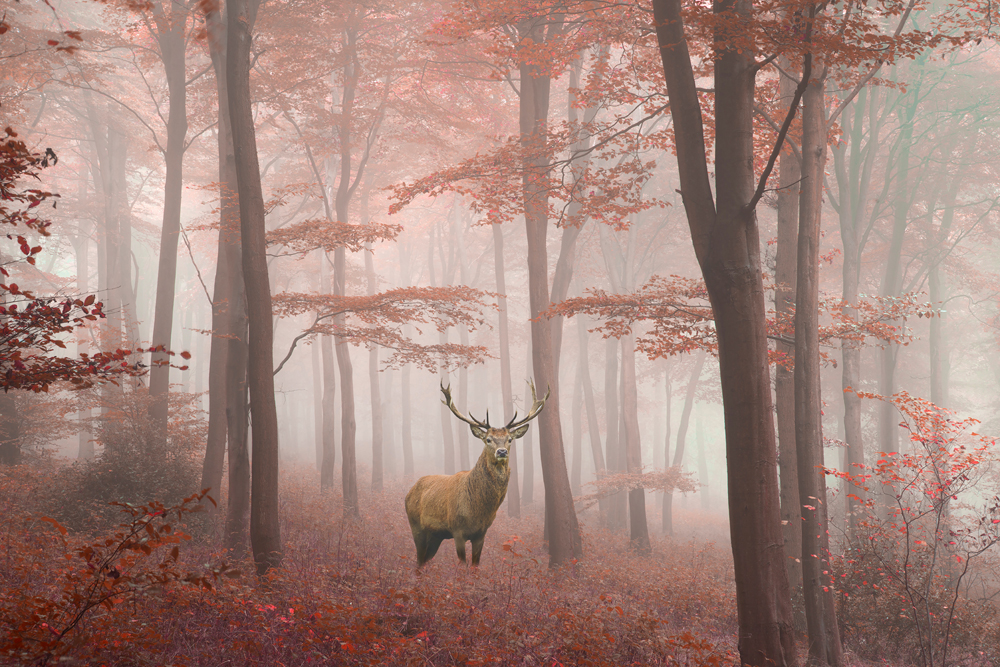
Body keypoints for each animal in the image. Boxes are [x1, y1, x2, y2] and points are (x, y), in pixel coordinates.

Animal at [404, 380, 548, 567]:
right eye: (488, 439)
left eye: (509, 439)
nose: (502, 452)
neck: (477, 510)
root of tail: (409, 492)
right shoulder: (457, 529)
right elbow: (462, 564)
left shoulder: (481, 533)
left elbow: (475, 566)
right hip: (416, 525)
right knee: (419, 560)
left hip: (436, 536)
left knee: (424, 560)